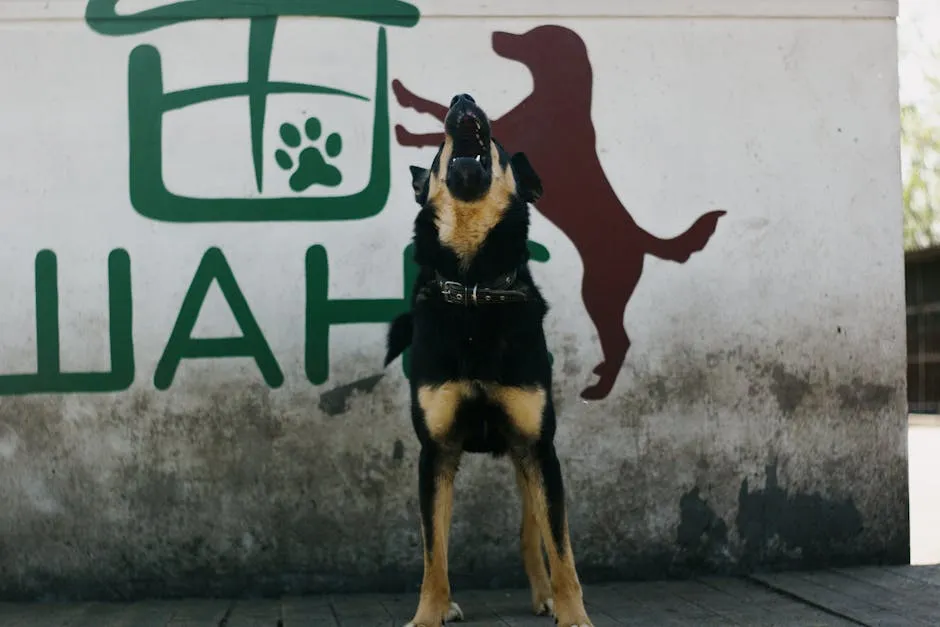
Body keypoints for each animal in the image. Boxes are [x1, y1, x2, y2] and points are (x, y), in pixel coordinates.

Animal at [384, 93, 592, 627]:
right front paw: (429, 613)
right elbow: (433, 551)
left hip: (525, 457)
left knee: (532, 533)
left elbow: (561, 548)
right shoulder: (436, 452)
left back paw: (544, 596)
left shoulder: (539, 448)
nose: (463, 99)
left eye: (497, 144)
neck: (474, 287)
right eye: (439, 149)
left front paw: (573, 613)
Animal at [390, 24, 728, 400]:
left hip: (599, 291)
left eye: (532, 36)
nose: (496, 35)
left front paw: (407, 119)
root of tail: (641, 238)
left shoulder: (510, 128)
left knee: (620, 340)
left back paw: (599, 387)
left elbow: (435, 117)